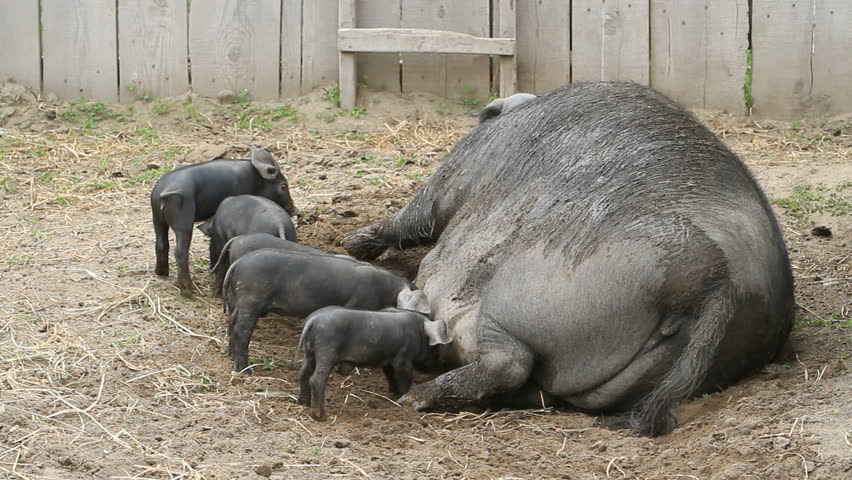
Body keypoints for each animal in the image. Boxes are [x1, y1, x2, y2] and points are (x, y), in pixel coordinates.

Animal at [151, 148, 297, 297]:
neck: (254, 179)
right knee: (180, 252)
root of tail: (164, 191)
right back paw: (189, 292)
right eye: (283, 187)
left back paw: (161, 273)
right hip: (183, 219)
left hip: (156, 217)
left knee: (161, 243)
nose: (295, 210)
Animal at [222, 249, 431, 372]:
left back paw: (230, 355)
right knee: (242, 330)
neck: (388, 289)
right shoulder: (358, 303)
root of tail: (238, 263)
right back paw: (244, 370)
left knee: (232, 320)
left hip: (243, 300)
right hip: (252, 298)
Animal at [295, 306, 452, 420]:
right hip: (326, 351)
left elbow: (390, 375)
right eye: (435, 348)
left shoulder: (388, 360)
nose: (443, 365)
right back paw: (321, 416)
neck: (418, 330)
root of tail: (312, 320)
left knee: (303, 374)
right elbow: (404, 379)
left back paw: (303, 403)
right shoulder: (403, 359)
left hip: (310, 353)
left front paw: (394, 393)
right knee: (316, 380)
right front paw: (402, 398)